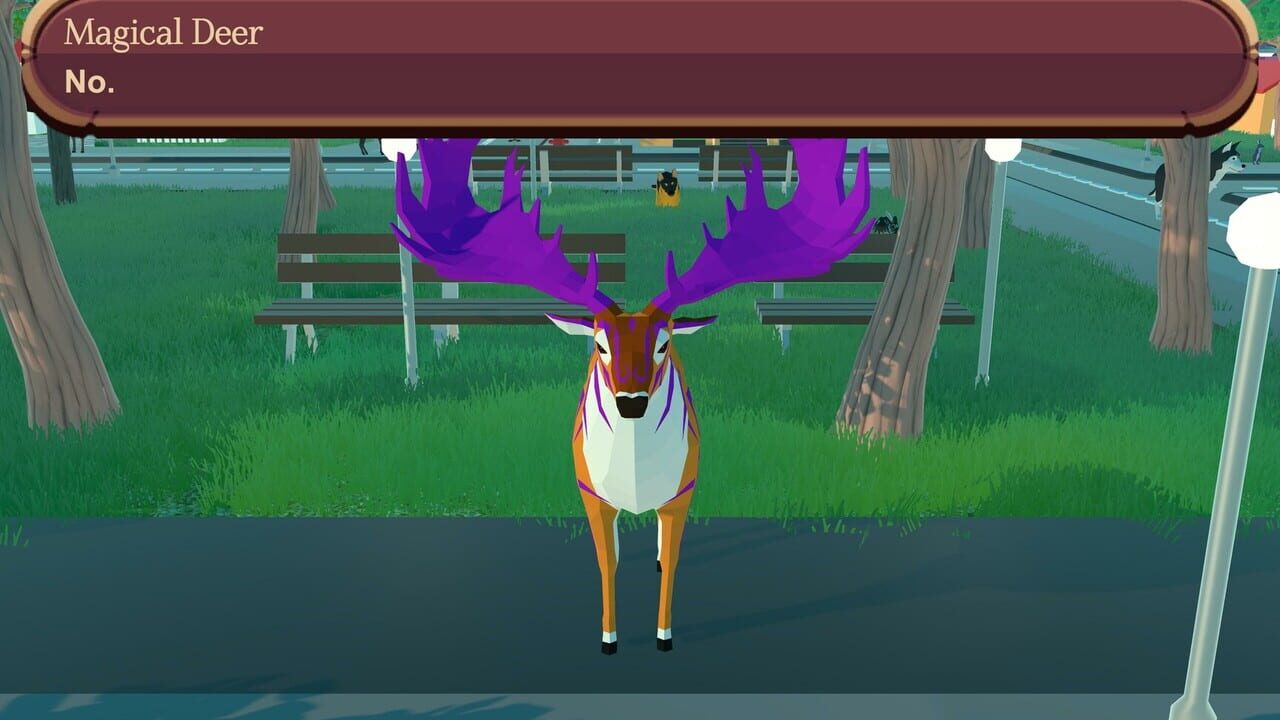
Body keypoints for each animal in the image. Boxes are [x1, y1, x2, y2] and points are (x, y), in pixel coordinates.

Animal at [390, 137, 874, 655]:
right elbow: (607, 563)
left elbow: (673, 562)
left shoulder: (683, 490)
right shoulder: (589, 492)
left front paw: (664, 635)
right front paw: (608, 637)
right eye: (601, 344)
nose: (631, 402)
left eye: (663, 344)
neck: (637, 480)